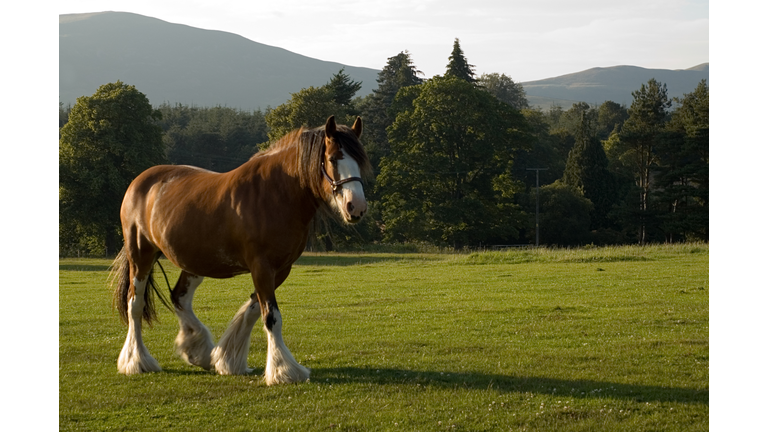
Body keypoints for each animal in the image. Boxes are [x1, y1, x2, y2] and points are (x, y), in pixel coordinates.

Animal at [109, 115, 370, 384]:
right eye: (333, 158)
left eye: (360, 161)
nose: (356, 207)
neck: (276, 194)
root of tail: (139, 181)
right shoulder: (262, 267)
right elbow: (271, 317)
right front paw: (283, 370)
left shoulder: (280, 269)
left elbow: (254, 310)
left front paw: (228, 358)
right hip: (141, 256)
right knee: (135, 304)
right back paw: (137, 361)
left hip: (194, 262)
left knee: (179, 297)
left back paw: (198, 350)